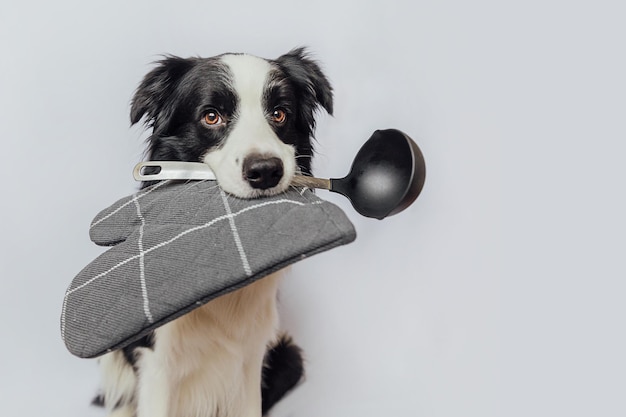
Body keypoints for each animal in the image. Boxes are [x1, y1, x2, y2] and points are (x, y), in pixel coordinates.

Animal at [94, 48, 332, 416]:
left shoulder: (252, 357)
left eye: (280, 114)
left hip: (288, 357)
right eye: (211, 116)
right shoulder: (157, 361)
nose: (266, 171)